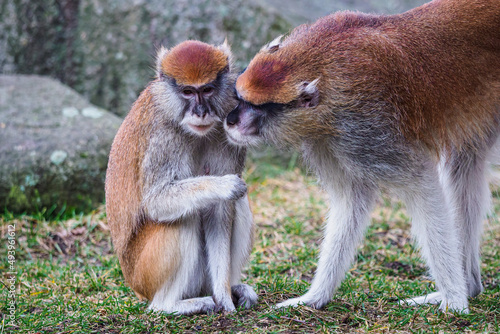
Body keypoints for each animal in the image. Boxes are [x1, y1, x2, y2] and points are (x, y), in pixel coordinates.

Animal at [107, 40, 260, 314]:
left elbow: (220, 211)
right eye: (188, 92)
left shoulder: (227, 128)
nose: (200, 112)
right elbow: (157, 201)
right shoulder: (163, 138)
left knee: (237, 203)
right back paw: (169, 305)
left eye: (207, 90)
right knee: (182, 217)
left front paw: (224, 296)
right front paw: (223, 185)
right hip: (144, 274)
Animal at [226, 0, 500, 314]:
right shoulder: (327, 140)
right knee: (464, 164)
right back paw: (471, 286)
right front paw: (314, 297)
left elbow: (422, 185)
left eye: (257, 107)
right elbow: (352, 198)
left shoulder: (366, 128)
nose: (231, 120)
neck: (325, 69)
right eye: (240, 98)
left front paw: (455, 303)